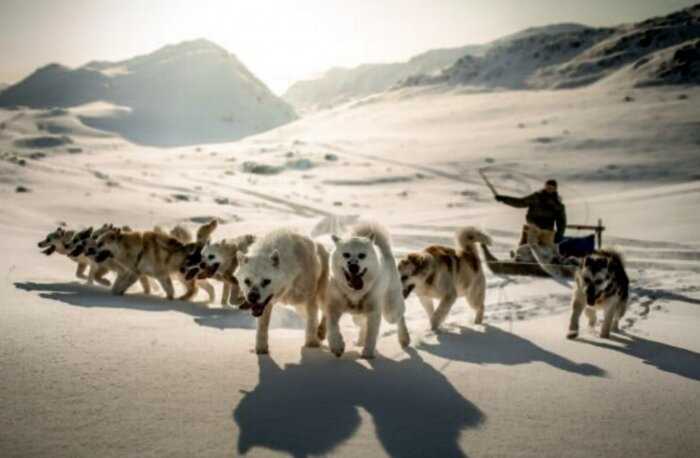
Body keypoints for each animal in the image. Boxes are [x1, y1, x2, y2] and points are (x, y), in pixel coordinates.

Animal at [324, 224, 410, 360]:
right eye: (346, 254)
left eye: (362, 255)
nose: (353, 266)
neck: (355, 292)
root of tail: (384, 250)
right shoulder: (333, 308)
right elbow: (332, 327)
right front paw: (337, 346)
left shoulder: (374, 312)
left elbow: (371, 335)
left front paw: (367, 354)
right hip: (357, 316)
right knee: (362, 323)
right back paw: (360, 340)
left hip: (390, 311)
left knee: (400, 317)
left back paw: (404, 338)